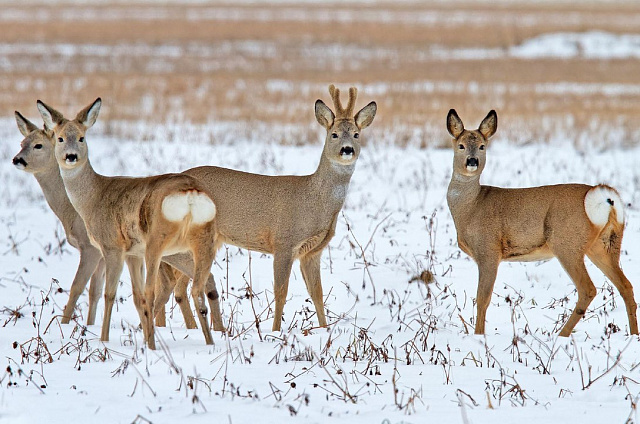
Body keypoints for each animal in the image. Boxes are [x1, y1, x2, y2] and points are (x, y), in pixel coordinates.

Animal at [12, 113, 198, 332]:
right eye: (22, 142)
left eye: (38, 145)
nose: (17, 159)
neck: (72, 209)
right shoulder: (104, 252)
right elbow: (95, 291)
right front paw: (89, 325)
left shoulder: (91, 248)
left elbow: (78, 287)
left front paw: (66, 325)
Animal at [36, 98, 225, 348]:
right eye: (60, 138)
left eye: (81, 137)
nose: (71, 156)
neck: (94, 196)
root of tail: (190, 193)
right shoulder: (133, 253)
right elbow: (135, 296)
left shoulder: (112, 246)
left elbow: (109, 294)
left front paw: (104, 340)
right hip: (203, 240)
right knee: (196, 290)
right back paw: (208, 343)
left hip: (157, 242)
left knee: (153, 291)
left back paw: (154, 344)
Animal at [182, 85, 378, 332]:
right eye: (333, 134)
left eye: (356, 134)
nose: (347, 150)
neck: (314, 201)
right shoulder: (284, 242)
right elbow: (281, 292)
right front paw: (275, 331)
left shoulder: (313, 251)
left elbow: (317, 293)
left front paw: (324, 329)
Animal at [448, 110, 636, 338]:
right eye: (461, 145)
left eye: (482, 146)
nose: (472, 161)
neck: (471, 207)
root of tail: (602, 195)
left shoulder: (489, 250)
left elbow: (482, 298)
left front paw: (478, 336)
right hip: (605, 244)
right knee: (625, 285)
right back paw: (634, 334)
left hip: (566, 242)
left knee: (588, 289)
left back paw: (562, 335)